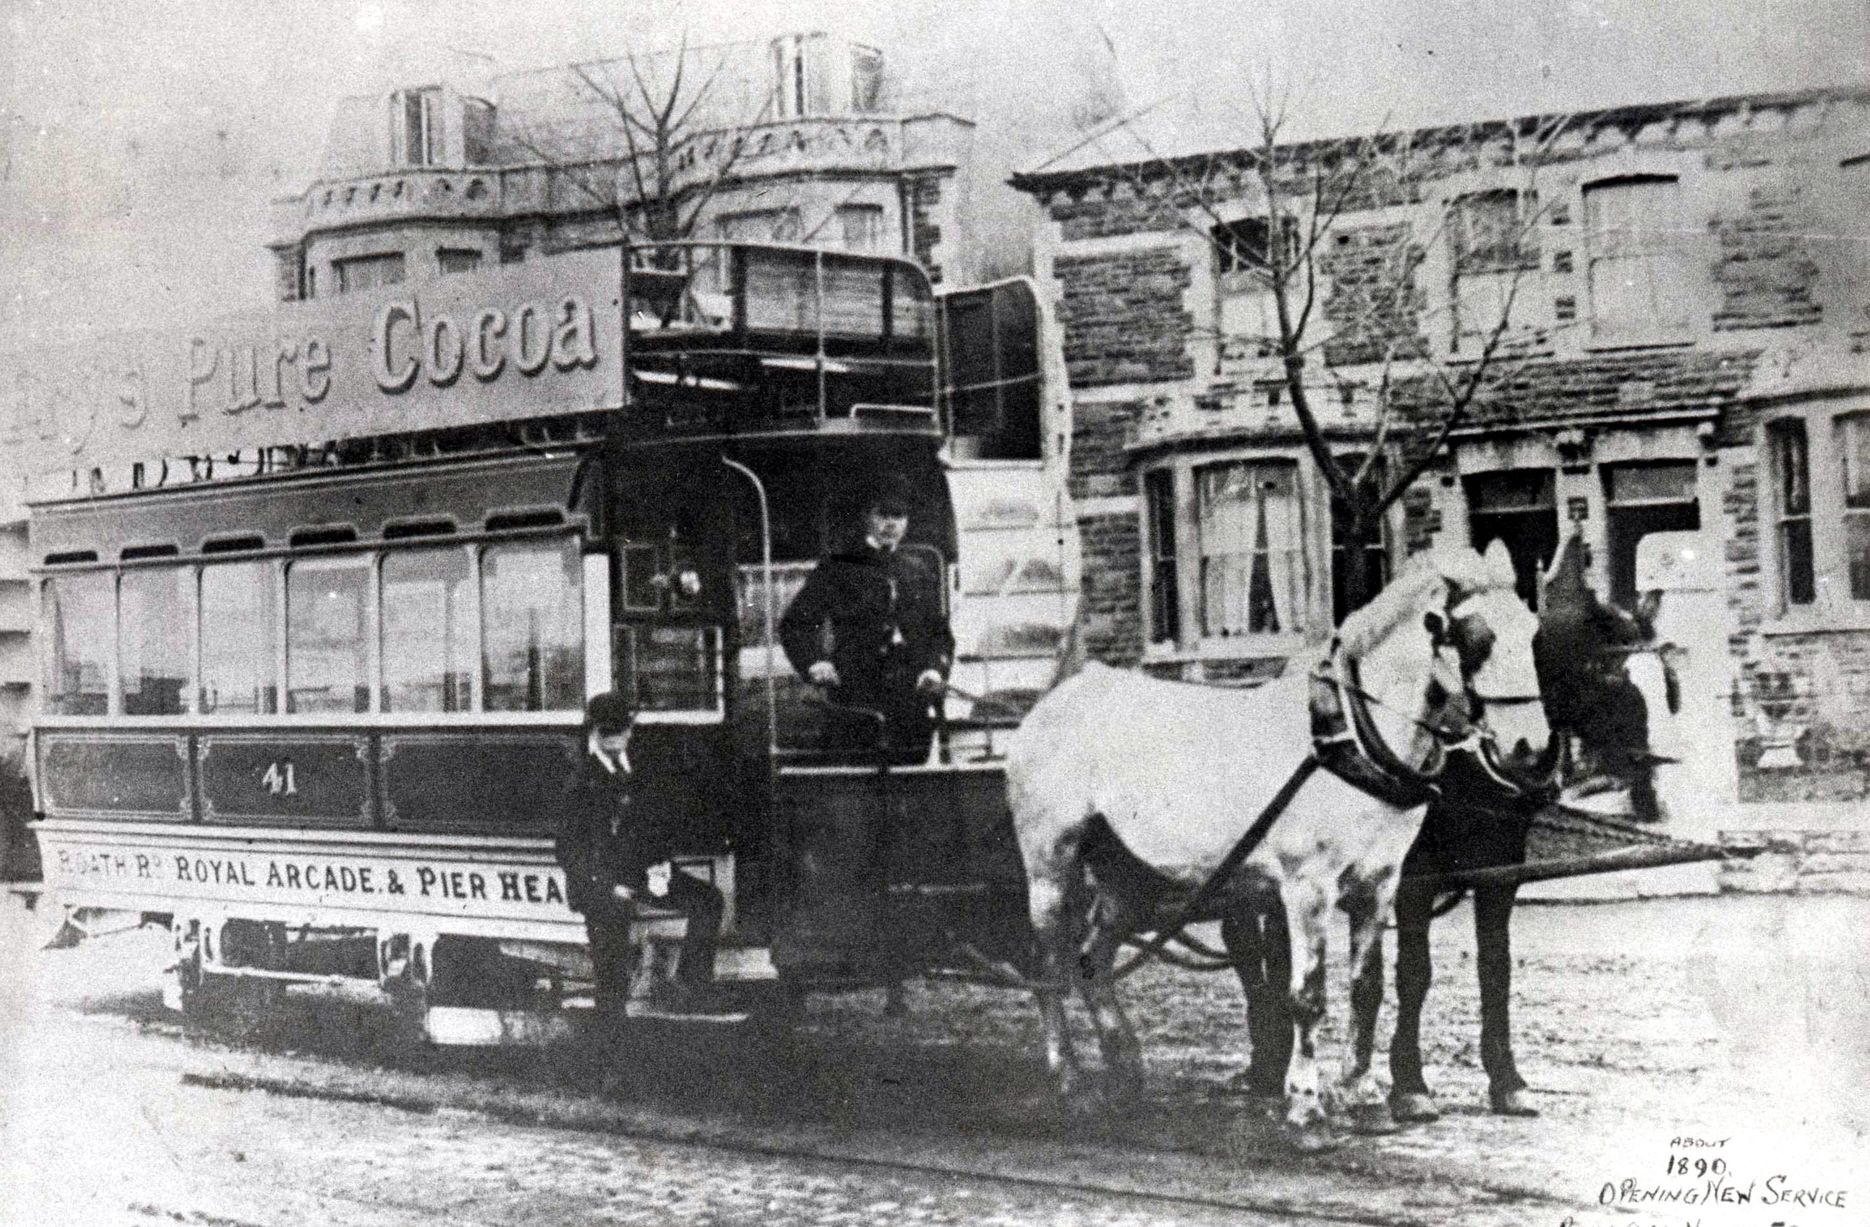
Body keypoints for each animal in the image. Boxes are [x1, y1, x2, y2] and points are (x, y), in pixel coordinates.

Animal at [1009, 542, 1548, 1144]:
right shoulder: (1307, 888)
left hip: (1131, 876)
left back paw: (1126, 1068)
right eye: (1477, 640)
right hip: (1051, 868)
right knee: (1049, 969)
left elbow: (1368, 988)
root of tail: (1056, 700)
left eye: (1532, 630)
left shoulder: (1379, 883)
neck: (1347, 735)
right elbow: (1307, 997)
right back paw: (1072, 1081)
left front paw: (1363, 1096)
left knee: (1092, 961)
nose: (1532, 749)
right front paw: (1307, 1105)